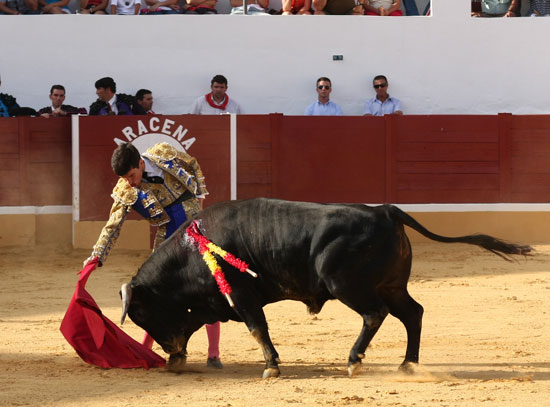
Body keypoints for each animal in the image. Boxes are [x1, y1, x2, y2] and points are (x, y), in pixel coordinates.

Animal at [119, 198, 532, 380]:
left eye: (141, 312)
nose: (169, 354)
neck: (193, 252)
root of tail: (386, 210)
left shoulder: (241, 296)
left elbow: (257, 328)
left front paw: (271, 367)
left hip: (346, 284)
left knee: (375, 314)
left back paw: (354, 361)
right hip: (393, 285)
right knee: (412, 313)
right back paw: (408, 364)